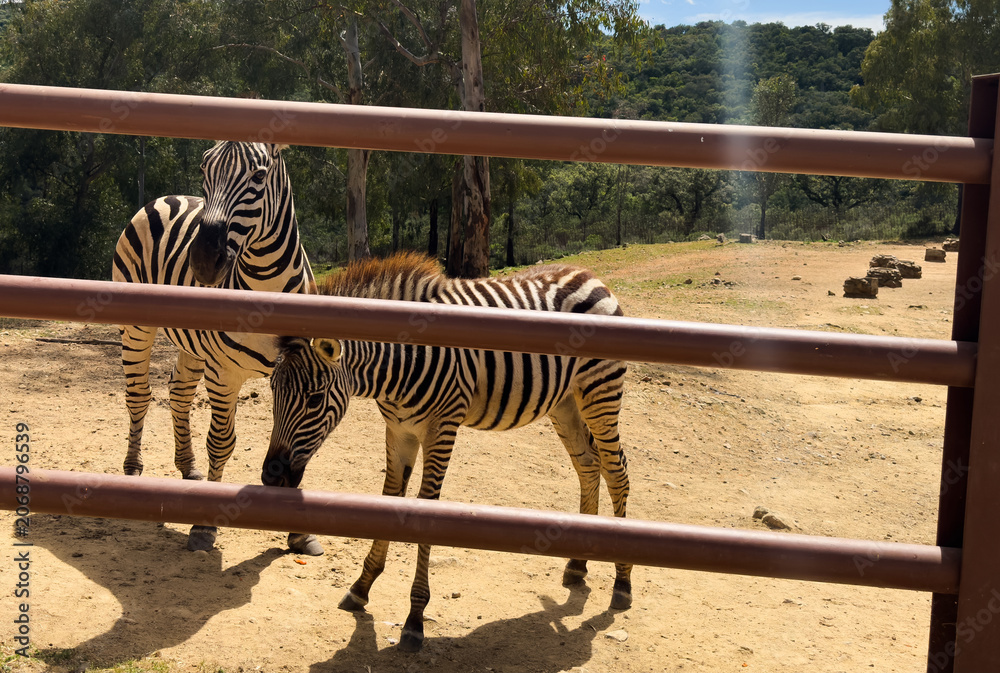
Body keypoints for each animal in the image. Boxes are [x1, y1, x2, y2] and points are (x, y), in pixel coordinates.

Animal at [112, 140, 320, 554]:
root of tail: (165, 197)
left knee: (178, 394)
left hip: (193, 343)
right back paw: (132, 468)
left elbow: (299, 443)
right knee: (139, 394)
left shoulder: (301, 372)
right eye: (204, 169)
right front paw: (205, 527)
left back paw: (188, 467)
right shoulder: (224, 374)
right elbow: (222, 442)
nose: (204, 261)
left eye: (259, 176)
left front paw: (299, 533)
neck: (267, 287)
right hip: (137, 326)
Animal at [262, 252, 632, 652]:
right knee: (588, 466)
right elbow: (388, 500)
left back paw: (623, 583)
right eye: (272, 391)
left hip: (599, 392)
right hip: (564, 402)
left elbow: (427, 510)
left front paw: (414, 618)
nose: (270, 476)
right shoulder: (398, 429)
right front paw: (362, 587)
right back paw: (578, 565)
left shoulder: (441, 428)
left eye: (314, 399)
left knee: (617, 471)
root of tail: (588, 274)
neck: (399, 362)